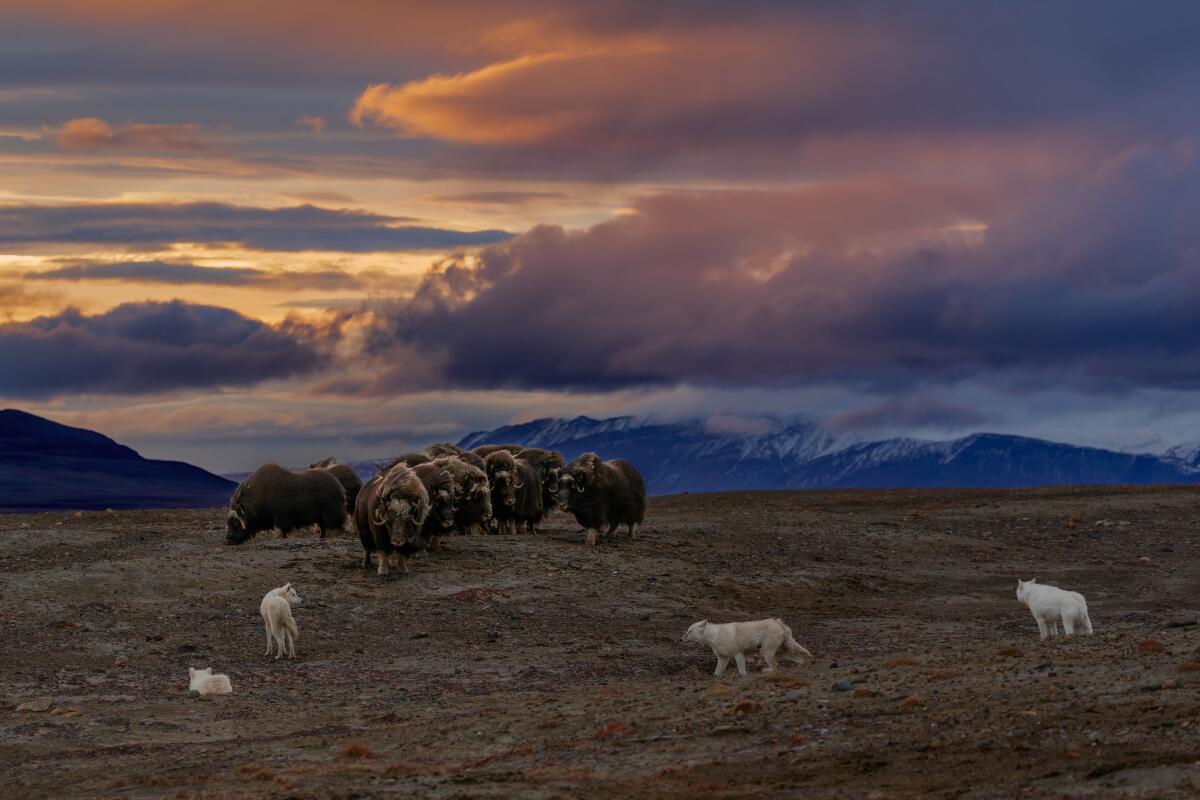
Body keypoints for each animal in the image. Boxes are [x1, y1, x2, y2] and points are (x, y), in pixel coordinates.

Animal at [681, 618, 811, 676]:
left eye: (689, 631)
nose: (681, 639)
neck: (713, 636)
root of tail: (779, 623)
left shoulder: (738, 654)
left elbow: (742, 671)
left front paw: (742, 677)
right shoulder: (723, 659)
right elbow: (717, 672)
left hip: (766, 653)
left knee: (774, 667)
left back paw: (767, 671)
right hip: (781, 654)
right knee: (800, 660)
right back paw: (799, 668)